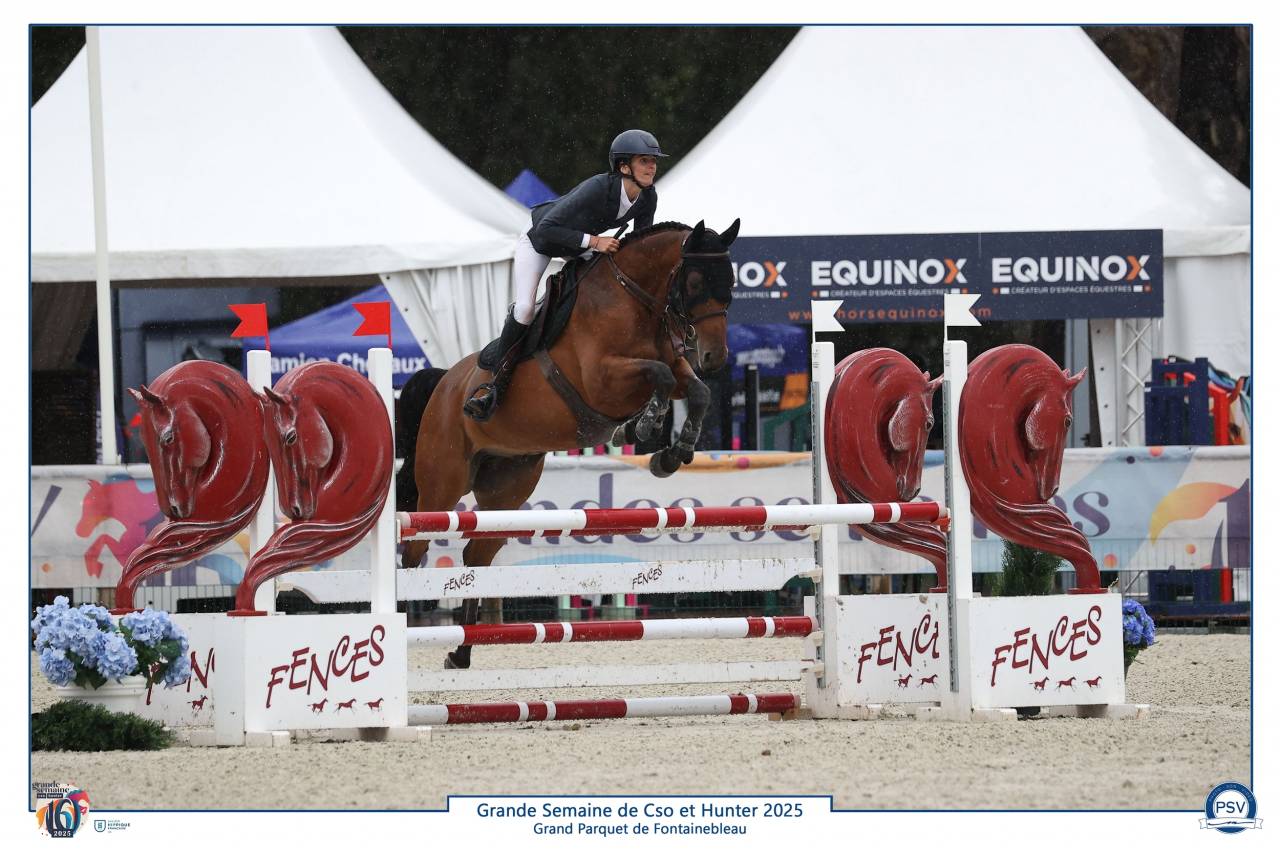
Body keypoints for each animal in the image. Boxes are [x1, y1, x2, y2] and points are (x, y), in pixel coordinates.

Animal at [399, 220, 740, 669]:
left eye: (730, 283)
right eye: (697, 282)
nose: (716, 357)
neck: (635, 299)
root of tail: (443, 383)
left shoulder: (675, 367)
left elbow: (695, 390)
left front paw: (672, 453)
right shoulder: (604, 380)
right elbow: (661, 376)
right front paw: (643, 428)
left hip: (507, 487)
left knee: (476, 556)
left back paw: (462, 651)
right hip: (442, 482)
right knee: (414, 550)